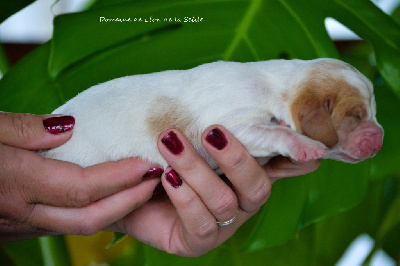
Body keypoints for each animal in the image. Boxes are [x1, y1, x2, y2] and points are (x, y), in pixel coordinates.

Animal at [40, 58, 384, 171]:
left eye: (374, 112)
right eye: (354, 116)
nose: (381, 139)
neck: (279, 88)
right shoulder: (229, 126)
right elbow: (275, 130)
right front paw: (305, 145)